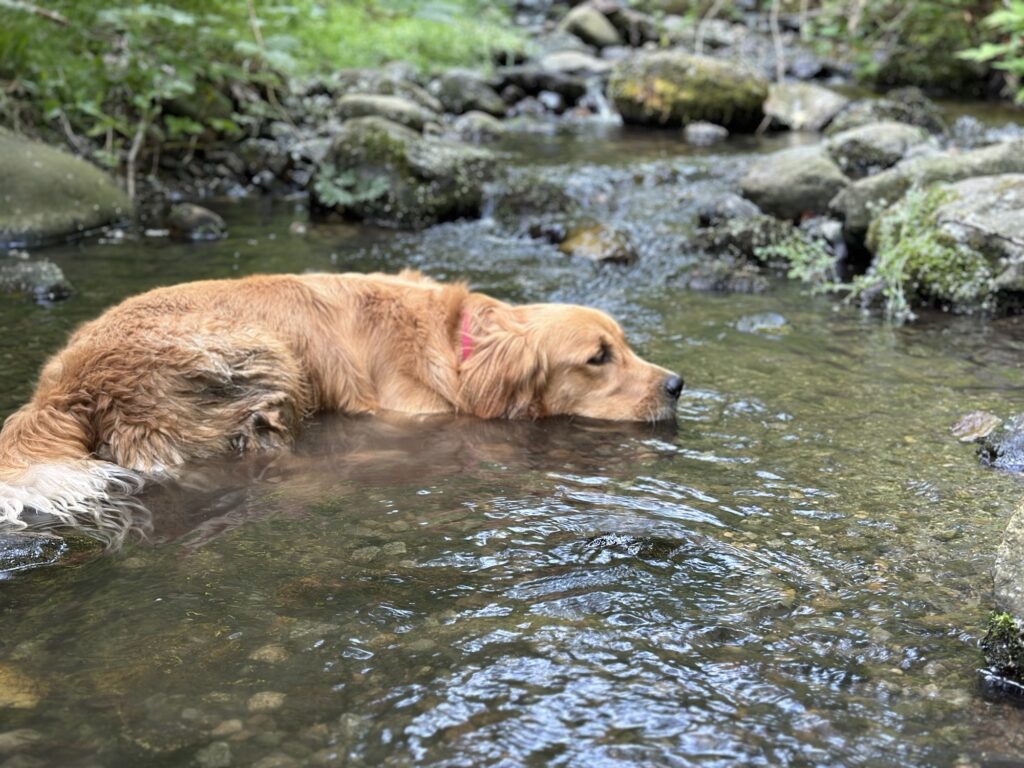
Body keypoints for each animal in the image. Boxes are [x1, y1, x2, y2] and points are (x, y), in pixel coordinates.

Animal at [2, 270, 688, 540]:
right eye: (598, 357)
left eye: (625, 344)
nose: (677, 383)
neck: (460, 348)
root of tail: (66, 383)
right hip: (264, 355)